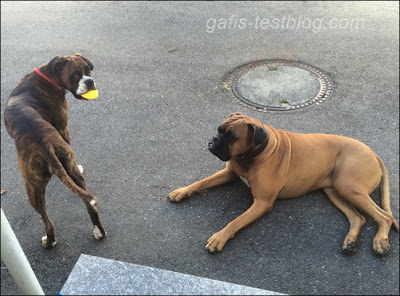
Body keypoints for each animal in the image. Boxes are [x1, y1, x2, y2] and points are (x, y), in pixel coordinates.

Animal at [3, 54, 106, 249]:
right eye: (75, 75)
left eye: (88, 72)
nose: (89, 81)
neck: (47, 76)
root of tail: (45, 145)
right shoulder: (62, 131)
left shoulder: (62, 128)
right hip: (72, 174)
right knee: (90, 206)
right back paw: (99, 232)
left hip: (32, 189)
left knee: (47, 221)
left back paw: (49, 241)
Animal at [167, 112, 398, 256]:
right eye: (219, 130)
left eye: (232, 137)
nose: (213, 140)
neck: (251, 156)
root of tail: (374, 153)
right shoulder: (229, 173)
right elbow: (201, 182)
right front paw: (182, 191)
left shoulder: (262, 203)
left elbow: (235, 221)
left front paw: (219, 238)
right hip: (334, 190)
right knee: (359, 218)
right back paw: (350, 242)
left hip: (348, 186)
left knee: (385, 216)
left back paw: (380, 241)